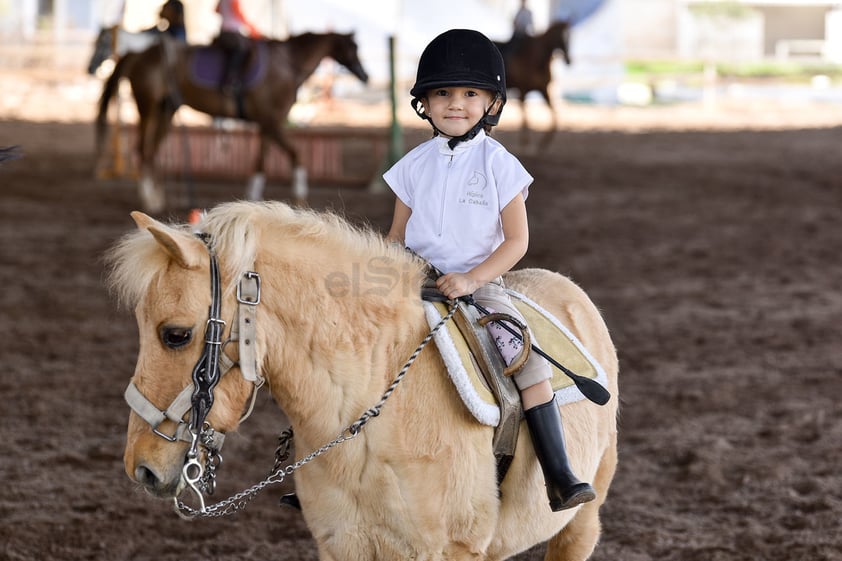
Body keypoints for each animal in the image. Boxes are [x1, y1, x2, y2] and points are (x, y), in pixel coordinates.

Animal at [96, 32, 368, 212]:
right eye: (353, 47)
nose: (365, 75)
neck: (287, 65)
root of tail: (138, 54)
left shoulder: (267, 124)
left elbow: (261, 161)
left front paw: (253, 198)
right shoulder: (271, 121)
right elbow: (295, 154)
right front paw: (300, 197)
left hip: (166, 111)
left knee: (151, 151)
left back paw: (156, 198)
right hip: (148, 107)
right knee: (142, 149)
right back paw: (149, 201)